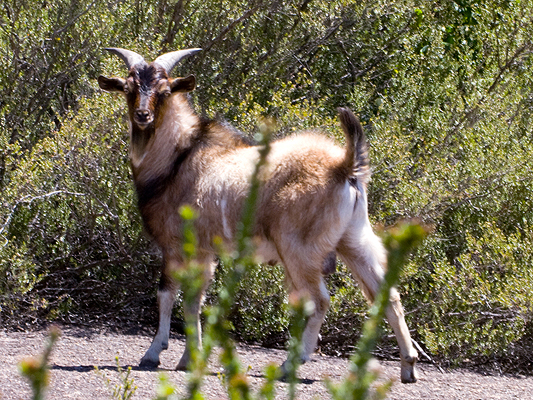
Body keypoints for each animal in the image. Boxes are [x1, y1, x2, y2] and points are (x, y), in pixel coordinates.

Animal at [96, 48, 420, 382]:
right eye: (129, 89)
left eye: (164, 91)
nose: (142, 116)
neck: (177, 159)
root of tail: (344, 166)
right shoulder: (204, 252)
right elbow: (194, 300)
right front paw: (189, 358)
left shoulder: (176, 244)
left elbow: (167, 294)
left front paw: (153, 354)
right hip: (354, 239)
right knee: (386, 294)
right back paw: (408, 365)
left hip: (299, 249)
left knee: (319, 300)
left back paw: (292, 363)